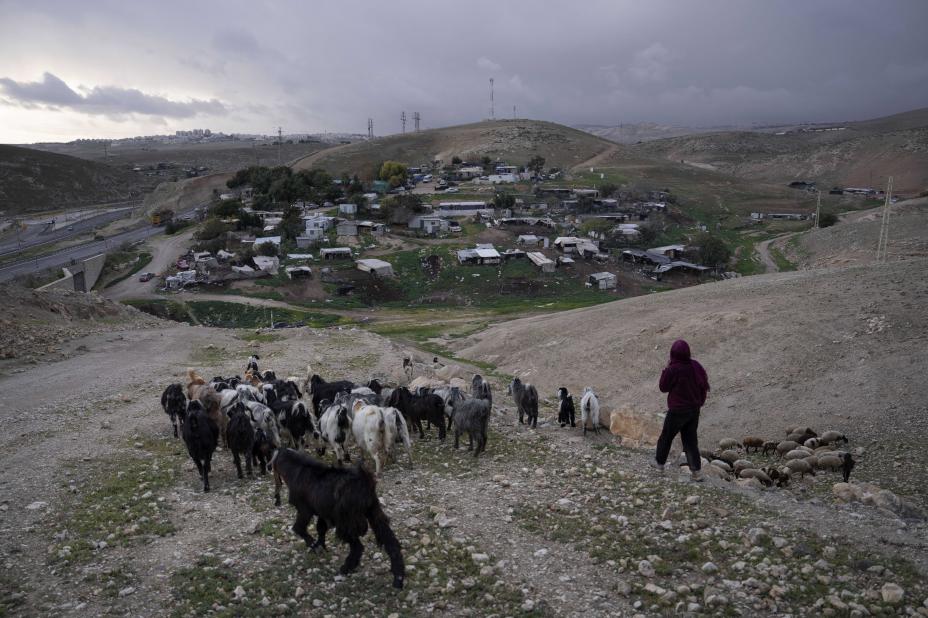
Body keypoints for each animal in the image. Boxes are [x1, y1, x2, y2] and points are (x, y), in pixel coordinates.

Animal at [274, 446, 408, 584]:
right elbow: (320, 529)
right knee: (391, 542)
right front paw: (320, 546)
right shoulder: (322, 513)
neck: (296, 468)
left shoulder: (304, 511)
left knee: (358, 547)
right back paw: (398, 578)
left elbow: (299, 528)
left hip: (346, 522)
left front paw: (314, 546)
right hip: (374, 513)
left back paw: (346, 568)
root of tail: (364, 482)